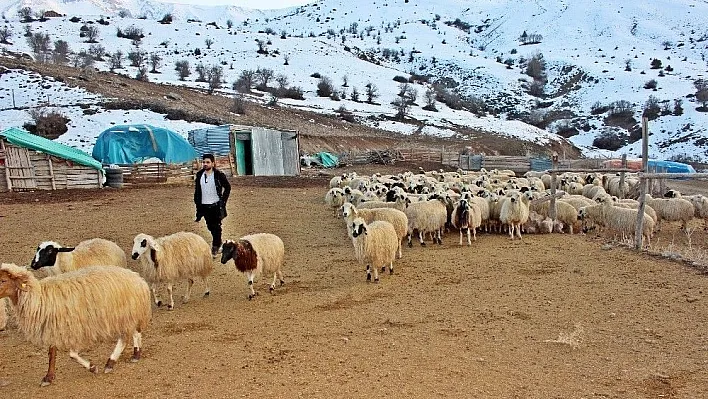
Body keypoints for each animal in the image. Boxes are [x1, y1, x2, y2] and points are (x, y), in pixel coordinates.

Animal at [0, 264, 151, 386]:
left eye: (3, 280)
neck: (40, 297)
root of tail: (138, 279)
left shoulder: (74, 328)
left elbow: (72, 354)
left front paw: (92, 367)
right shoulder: (55, 328)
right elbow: (52, 353)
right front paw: (48, 377)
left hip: (123, 314)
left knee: (125, 337)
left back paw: (111, 363)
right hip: (128, 314)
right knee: (135, 332)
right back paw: (136, 354)